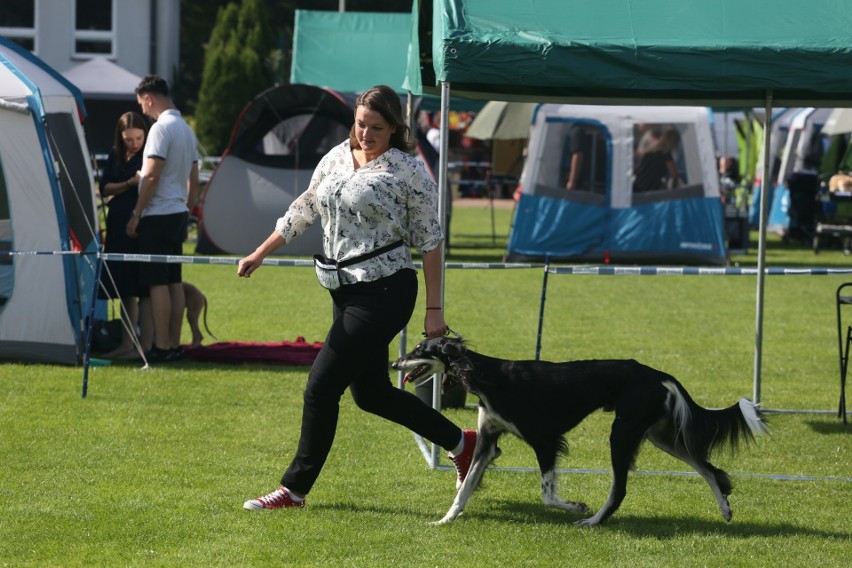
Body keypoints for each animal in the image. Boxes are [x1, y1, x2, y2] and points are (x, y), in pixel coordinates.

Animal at [396, 336, 768, 524]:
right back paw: (725, 509)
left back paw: (591, 521)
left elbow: (547, 494)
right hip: (658, 434)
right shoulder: (488, 442)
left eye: (420, 350)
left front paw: (576, 506)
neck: (491, 377)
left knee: (620, 489)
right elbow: (464, 490)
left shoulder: (544, 440)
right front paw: (444, 520)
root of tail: (655, 373)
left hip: (623, 433)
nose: (395, 363)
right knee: (708, 468)